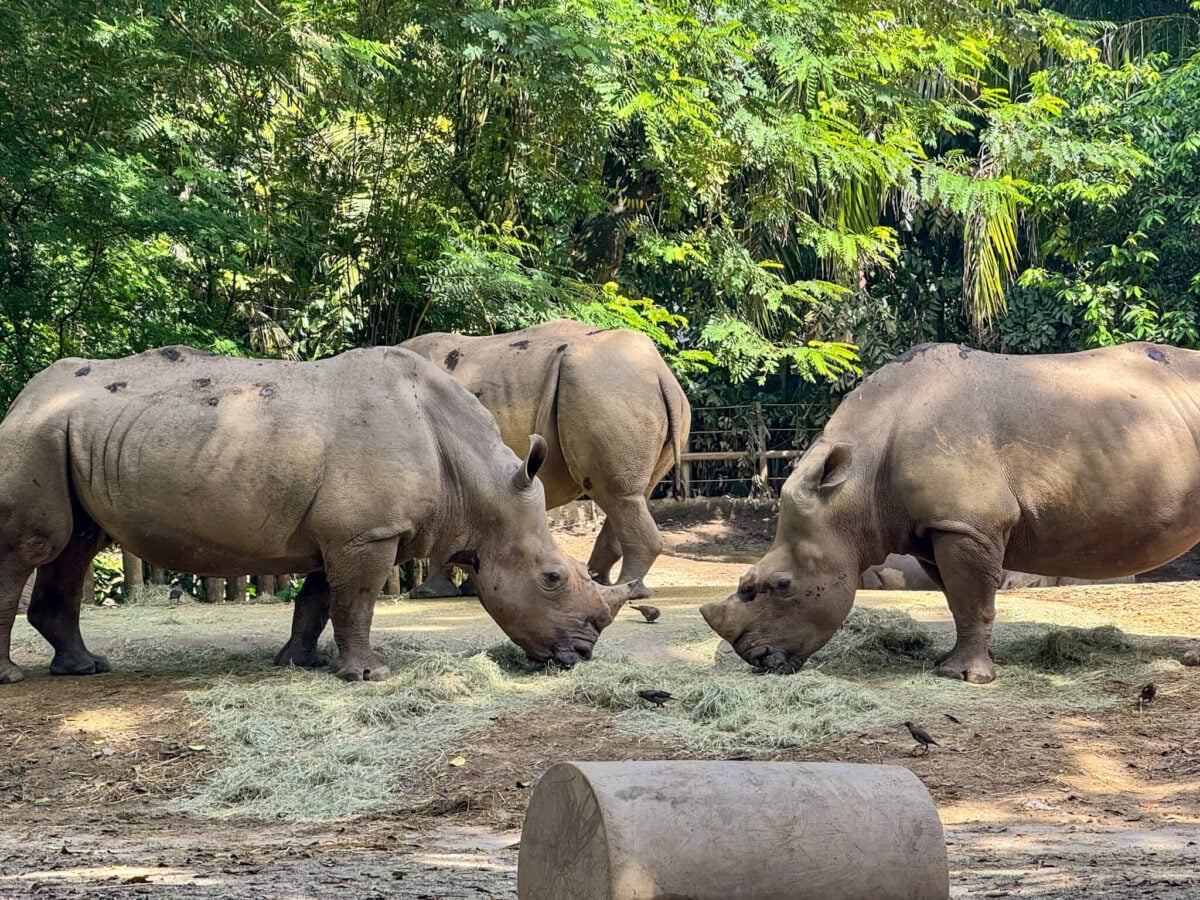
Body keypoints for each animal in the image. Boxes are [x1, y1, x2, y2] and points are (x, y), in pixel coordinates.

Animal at [0, 346, 645, 685]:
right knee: (34, 546)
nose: (581, 657)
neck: (479, 484)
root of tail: (24, 395)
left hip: (67, 434)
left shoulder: (343, 531)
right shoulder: (366, 533)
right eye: (552, 579)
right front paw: (369, 676)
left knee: (76, 544)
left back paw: (85, 668)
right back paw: (12, 677)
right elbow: (356, 603)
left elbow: (317, 599)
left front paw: (300, 662)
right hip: (33, 435)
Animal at [400, 319, 690, 594]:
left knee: (616, 495)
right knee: (632, 496)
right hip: (632, 396)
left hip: (605, 391)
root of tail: (661, 374)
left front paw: (428, 594)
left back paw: (629, 590)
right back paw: (603, 585)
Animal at [701, 342, 1199, 683]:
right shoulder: (934, 528)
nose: (758, 660)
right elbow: (962, 600)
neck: (853, 490)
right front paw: (957, 665)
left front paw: (962, 678)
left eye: (783, 585)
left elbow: (970, 597)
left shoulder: (966, 525)